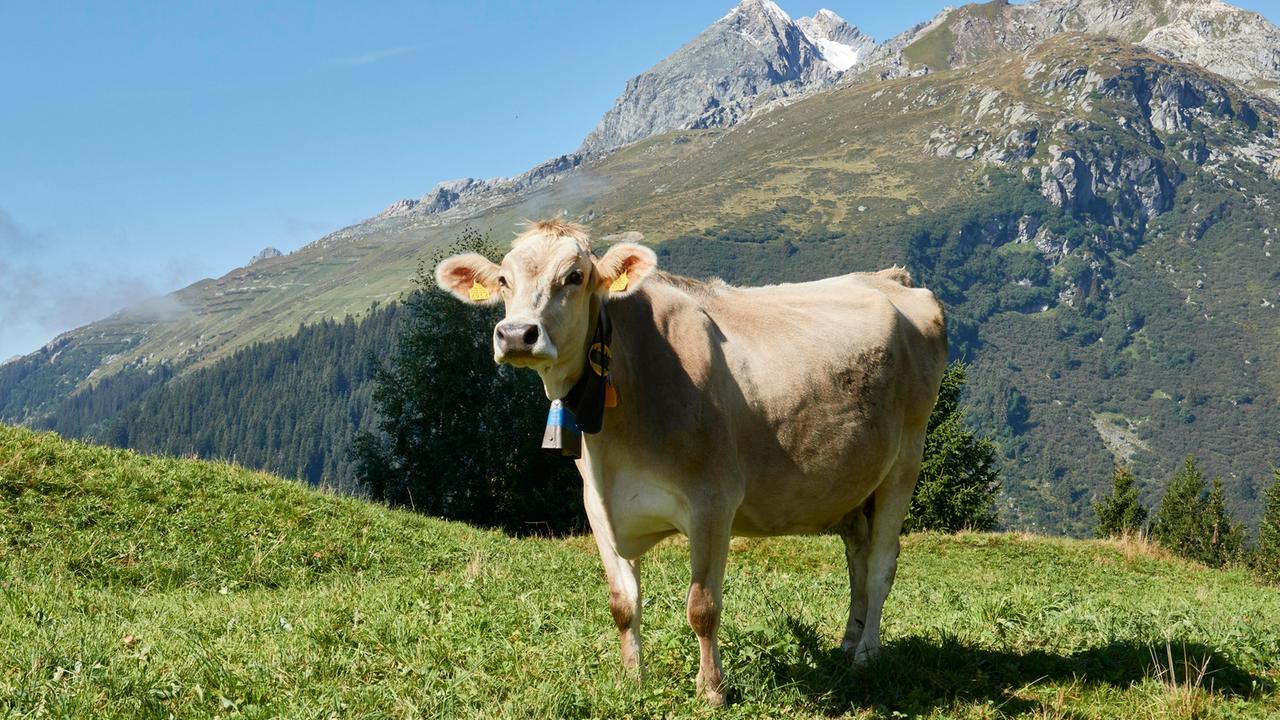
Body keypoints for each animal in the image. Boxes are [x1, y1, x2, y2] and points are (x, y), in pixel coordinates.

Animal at [435, 217, 947, 702]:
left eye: (575, 276)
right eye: (504, 279)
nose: (516, 334)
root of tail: (892, 278)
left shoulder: (712, 501)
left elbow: (702, 607)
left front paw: (712, 689)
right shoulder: (599, 507)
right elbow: (622, 605)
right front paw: (631, 680)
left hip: (906, 459)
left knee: (881, 564)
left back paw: (866, 656)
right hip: (852, 482)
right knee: (858, 556)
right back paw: (847, 642)